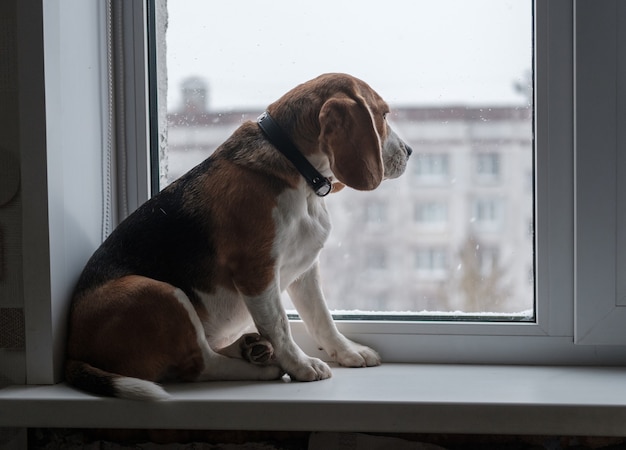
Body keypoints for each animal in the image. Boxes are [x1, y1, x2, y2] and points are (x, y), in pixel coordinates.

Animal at [66, 74, 412, 400]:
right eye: (382, 115)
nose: (409, 151)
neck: (296, 172)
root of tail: (73, 351)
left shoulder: (305, 270)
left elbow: (321, 318)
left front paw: (348, 351)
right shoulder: (256, 271)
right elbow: (278, 325)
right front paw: (301, 365)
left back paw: (249, 349)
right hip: (158, 293)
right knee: (199, 364)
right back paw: (261, 367)